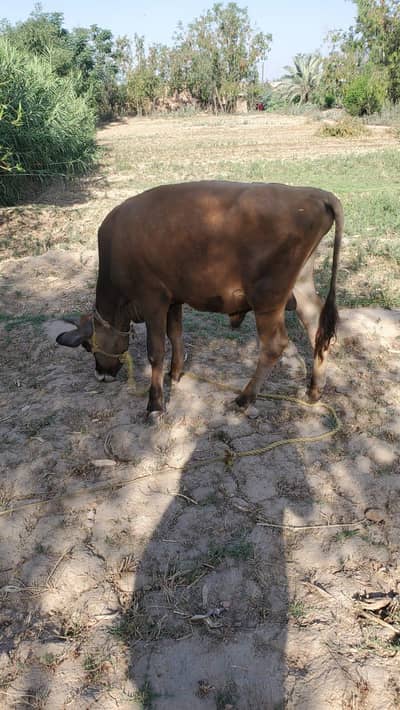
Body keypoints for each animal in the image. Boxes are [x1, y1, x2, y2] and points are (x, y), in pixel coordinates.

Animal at [57, 181, 343, 421]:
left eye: (87, 346)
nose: (101, 375)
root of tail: (316, 194)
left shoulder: (153, 300)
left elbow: (155, 351)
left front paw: (155, 405)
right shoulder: (173, 299)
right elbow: (175, 334)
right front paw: (175, 373)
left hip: (267, 299)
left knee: (274, 345)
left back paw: (245, 399)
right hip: (301, 284)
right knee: (316, 328)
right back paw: (314, 389)